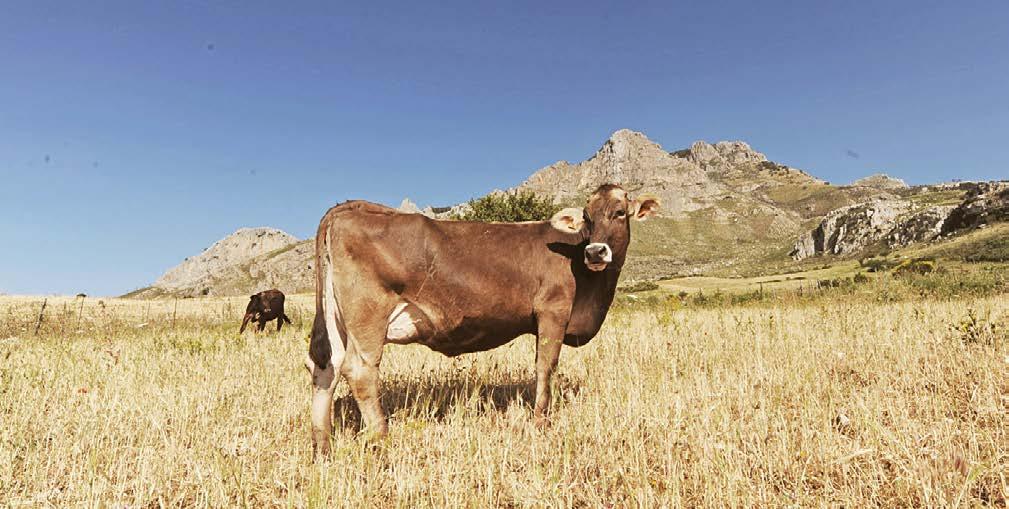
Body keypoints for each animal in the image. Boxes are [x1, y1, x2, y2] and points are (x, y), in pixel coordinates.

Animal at [302, 182, 657, 452]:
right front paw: (541, 423)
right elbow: (546, 368)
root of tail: (351, 207)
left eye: (620, 212)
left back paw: (323, 447)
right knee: (359, 371)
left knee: (325, 368)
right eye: (586, 217)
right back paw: (383, 440)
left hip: (336, 321)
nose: (595, 251)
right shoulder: (553, 312)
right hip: (369, 315)